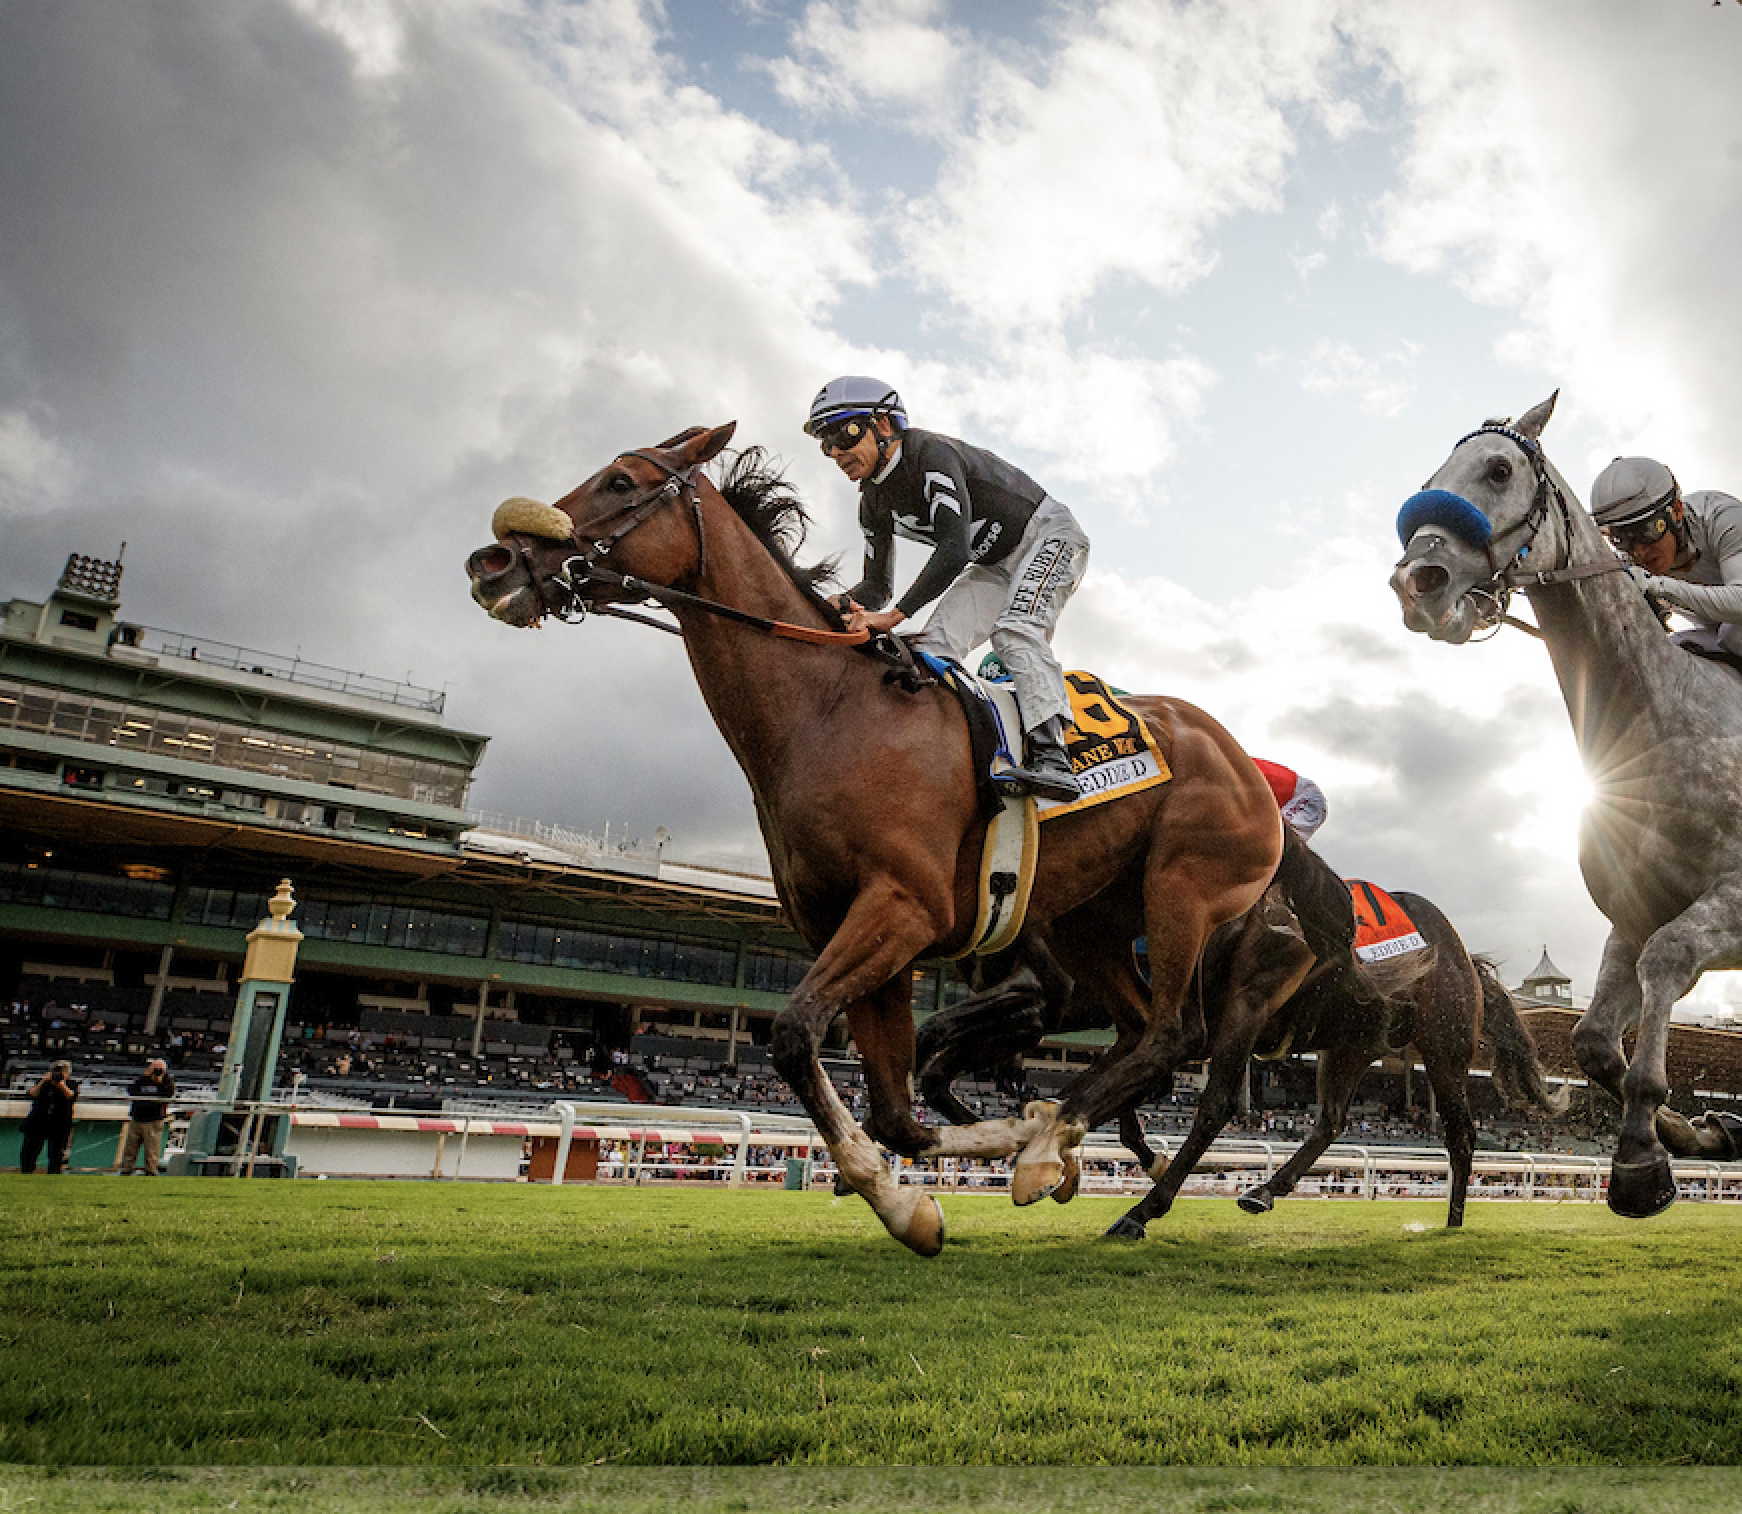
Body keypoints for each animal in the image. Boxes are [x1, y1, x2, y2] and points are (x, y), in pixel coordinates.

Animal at [465, 426, 1283, 1254]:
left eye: (621, 483)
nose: (490, 563)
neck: (828, 710)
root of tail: (1245, 761)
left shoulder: (903, 908)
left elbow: (795, 1034)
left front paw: (968, 1168)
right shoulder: (859, 928)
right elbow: (896, 1110)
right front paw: (927, 1192)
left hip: (1181, 888)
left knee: (1174, 1034)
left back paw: (1064, 1155)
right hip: (1092, 921)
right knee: (1141, 1033)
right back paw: (1061, 1143)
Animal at [918, 831, 1567, 1232]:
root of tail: (1463, 953)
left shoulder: (1224, 1008)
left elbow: (1197, 1102)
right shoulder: (1084, 1011)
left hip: (1443, 1046)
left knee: (1460, 1131)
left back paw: (1453, 1218)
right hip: (1352, 1043)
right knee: (1331, 1120)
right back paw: (1264, 1189)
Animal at [1390, 392, 1742, 1217]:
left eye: (1498, 469)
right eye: (1429, 477)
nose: (1418, 579)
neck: (1660, 714)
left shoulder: (1729, 903)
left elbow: (1666, 961)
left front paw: (1641, 1156)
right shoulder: (1631, 915)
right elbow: (1592, 1042)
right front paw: (1696, 1133)